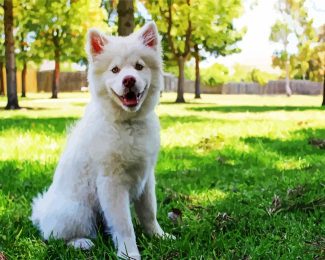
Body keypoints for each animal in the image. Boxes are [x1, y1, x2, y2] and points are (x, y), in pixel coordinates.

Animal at [30, 22, 171, 260]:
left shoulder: (146, 178)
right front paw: (129, 253)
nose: (129, 79)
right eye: (115, 70)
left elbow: (149, 213)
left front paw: (159, 237)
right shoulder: (112, 183)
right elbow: (124, 225)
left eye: (139, 66)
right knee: (55, 237)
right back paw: (81, 243)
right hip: (78, 211)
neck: (128, 123)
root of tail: (42, 213)